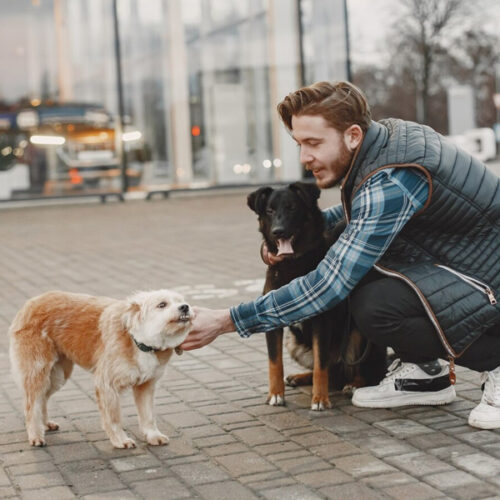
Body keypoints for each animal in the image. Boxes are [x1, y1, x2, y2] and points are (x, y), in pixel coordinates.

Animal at [10, 290, 193, 450]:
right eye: (162, 304)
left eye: (181, 301)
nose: (185, 307)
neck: (139, 341)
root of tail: (31, 303)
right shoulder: (107, 385)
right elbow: (114, 418)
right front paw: (120, 440)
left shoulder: (146, 386)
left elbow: (148, 416)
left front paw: (153, 435)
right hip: (38, 372)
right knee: (31, 404)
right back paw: (35, 435)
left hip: (57, 376)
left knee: (42, 399)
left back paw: (45, 424)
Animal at [248, 183, 384, 410]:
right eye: (270, 211)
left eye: (292, 208)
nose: (278, 231)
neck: (293, 261)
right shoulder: (272, 320)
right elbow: (275, 363)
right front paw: (275, 394)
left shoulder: (321, 321)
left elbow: (321, 365)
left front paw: (320, 399)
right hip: (293, 342)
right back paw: (300, 377)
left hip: (358, 337)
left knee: (361, 371)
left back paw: (354, 384)